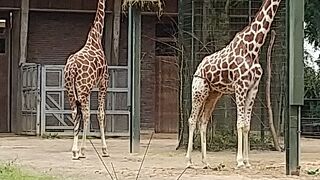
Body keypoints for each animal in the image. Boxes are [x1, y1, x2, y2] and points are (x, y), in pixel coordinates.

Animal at [63, 0, 109, 160]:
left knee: (75, 113)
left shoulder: (89, 89)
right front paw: (104, 150)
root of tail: (71, 68)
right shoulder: (103, 83)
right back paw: (77, 151)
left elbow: (86, 114)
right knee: (83, 113)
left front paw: (82, 150)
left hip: (71, 91)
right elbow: (99, 113)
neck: (97, 37)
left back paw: (74, 151)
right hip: (82, 89)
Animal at [186, 0, 282, 169]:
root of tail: (199, 67)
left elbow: (247, 125)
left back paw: (206, 162)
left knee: (203, 121)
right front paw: (239, 161)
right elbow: (239, 123)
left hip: (213, 94)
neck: (253, 48)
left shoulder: (253, 88)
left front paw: (247, 161)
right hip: (198, 90)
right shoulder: (240, 86)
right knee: (192, 120)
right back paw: (189, 161)